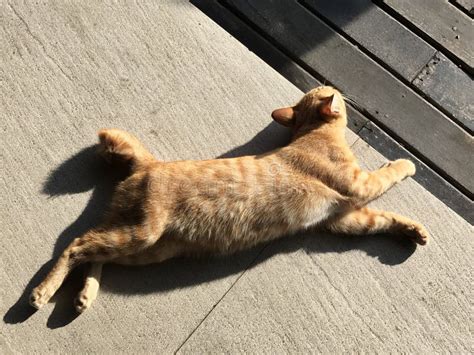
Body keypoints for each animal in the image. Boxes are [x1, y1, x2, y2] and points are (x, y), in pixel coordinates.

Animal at [29, 87, 430, 314]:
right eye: (331, 92)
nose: (344, 95)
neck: (311, 134)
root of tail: (150, 162)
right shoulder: (358, 186)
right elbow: (390, 173)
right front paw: (406, 164)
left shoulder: (342, 218)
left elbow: (381, 219)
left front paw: (413, 230)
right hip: (141, 235)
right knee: (76, 245)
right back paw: (42, 292)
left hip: (145, 246)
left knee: (92, 251)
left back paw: (85, 295)